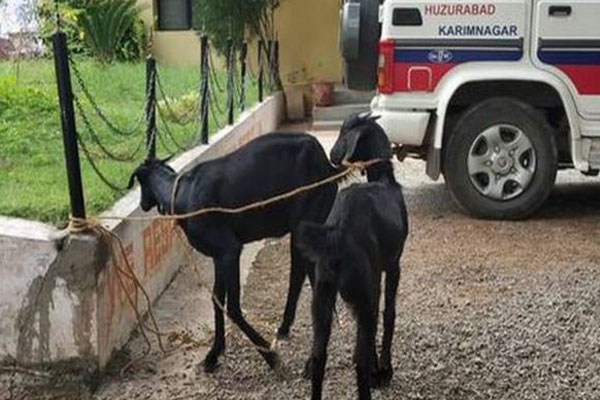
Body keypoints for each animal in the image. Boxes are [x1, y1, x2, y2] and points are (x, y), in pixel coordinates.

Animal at [127, 134, 338, 372]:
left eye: (140, 183)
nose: (143, 204)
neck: (182, 194)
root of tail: (325, 163)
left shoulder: (229, 249)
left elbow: (234, 307)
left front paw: (269, 355)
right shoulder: (218, 256)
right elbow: (217, 298)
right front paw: (213, 354)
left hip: (307, 218)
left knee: (306, 275)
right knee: (303, 274)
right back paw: (286, 328)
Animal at [298, 113, 408, 400]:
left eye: (342, 133)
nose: (332, 155)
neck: (384, 179)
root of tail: (337, 233)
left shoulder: (376, 278)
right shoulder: (393, 265)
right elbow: (389, 314)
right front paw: (385, 370)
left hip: (322, 297)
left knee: (319, 356)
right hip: (361, 293)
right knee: (359, 361)